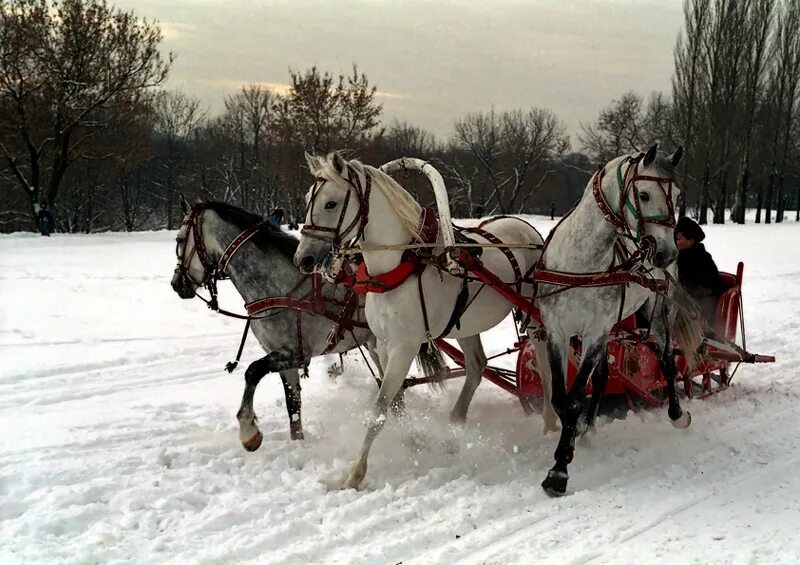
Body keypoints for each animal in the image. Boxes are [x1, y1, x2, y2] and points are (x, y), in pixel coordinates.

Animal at [294, 151, 544, 490]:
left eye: (331, 203)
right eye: (308, 198)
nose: (303, 259)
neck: (400, 265)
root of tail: (529, 231)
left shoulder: (404, 345)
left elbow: (380, 407)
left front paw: (356, 472)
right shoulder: (383, 343)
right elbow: (395, 400)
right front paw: (413, 440)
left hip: (536, 315)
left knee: (545, 360)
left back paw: (552, 420)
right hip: (467, 325)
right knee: (476, 367)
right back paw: (455, 425)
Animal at [532, 143, 692, 496]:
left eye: (677, 195)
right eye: (644, 194)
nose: (667, 253)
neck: (582, 264)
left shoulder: (594, 332)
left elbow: (575, 398)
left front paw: (559, 470)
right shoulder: (558, 331)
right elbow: (562, 399)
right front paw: (569, 443)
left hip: (659, 314)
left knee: (667, 362)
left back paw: (677, 413)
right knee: (605, 374)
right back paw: (588, 427)